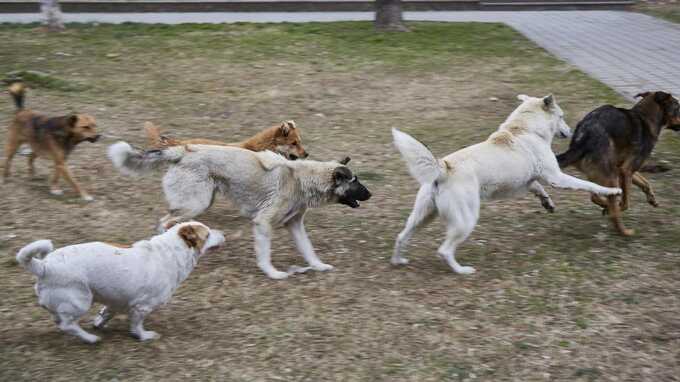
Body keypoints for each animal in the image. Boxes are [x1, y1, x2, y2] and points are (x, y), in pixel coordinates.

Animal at [15, 221, 226, 344]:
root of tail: (44, 266)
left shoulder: (117, 300)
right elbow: (137, 326)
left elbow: (106, 313)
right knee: (67, 325)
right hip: (81, 301)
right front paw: (143, 336)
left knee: (60, 320)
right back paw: (90, 338)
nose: (224, 233)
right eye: (207, 234)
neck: (172, 252)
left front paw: (99, 323)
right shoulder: (142, 307)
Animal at [394, 95, 620, 274]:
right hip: (465, 221)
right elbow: (589, 185)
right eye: (562, 117)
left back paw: (398, 261)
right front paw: (612, 190)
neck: (526, 130)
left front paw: (547, 203)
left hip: (422, 216)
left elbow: (538, 189)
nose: (570, 131)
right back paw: (462, 270)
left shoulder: (529, 181)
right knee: (444, 250)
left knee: (401, 236)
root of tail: (443, 167)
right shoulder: (557, 178)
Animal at [556, 92, 680, 236]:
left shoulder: (625, 169)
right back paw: (624, 230)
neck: (645, 117)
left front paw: (652, 199)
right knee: (612, 210)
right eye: (678, 108)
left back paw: (606, 206)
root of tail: (583, 138)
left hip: (603, 174)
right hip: (611, 178)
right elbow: (626, 202)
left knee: (594, 196)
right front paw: (613, 208)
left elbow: (645, 182)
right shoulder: (626, 170)